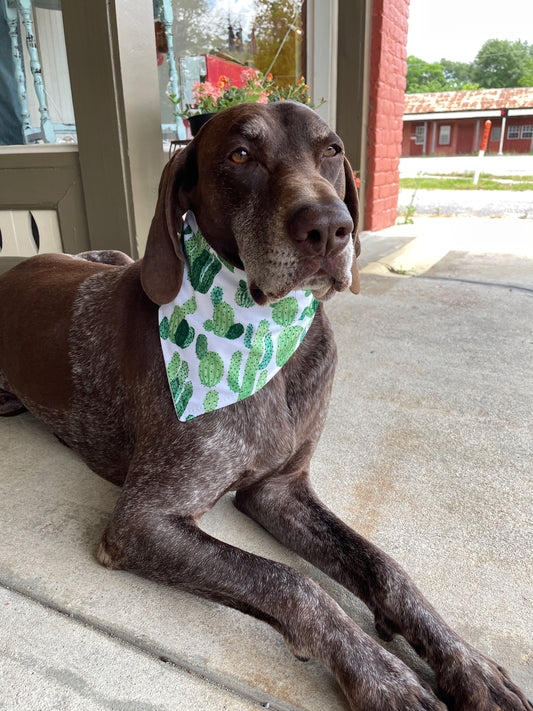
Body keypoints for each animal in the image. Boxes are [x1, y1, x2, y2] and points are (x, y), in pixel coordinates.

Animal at [0, 101, 528, 711]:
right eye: (240, 154)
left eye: (332, 150)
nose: (331, 228)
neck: (262, 335)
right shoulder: (141, 522)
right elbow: (293, 584)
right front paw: (384, 677)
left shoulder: (280, 490)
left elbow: (385, 567)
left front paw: (467, 662)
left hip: (111, 256)